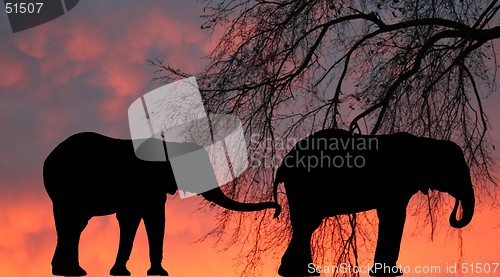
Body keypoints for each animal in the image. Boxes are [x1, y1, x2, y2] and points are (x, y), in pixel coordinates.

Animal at [44, 131, 282, 274]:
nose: (277, 212)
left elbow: (152, 217)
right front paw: (126, 273)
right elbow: (135, 218)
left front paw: (154, 273)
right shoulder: (142, 184)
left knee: (74, 225)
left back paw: (69, 271)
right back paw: (69, 272)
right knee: (72, 224)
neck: (170, 145)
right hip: (66, 186)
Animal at [272, 129, 474, 276]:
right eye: (455, 170)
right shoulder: (396, 181)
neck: (425, 142)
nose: (456, 205)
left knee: (304, 226)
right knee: (307, 224)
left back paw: (300, 272)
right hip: (305, 187)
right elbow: (394, 215)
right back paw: (302, 272)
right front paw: (391, 273)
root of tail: (283, 163)